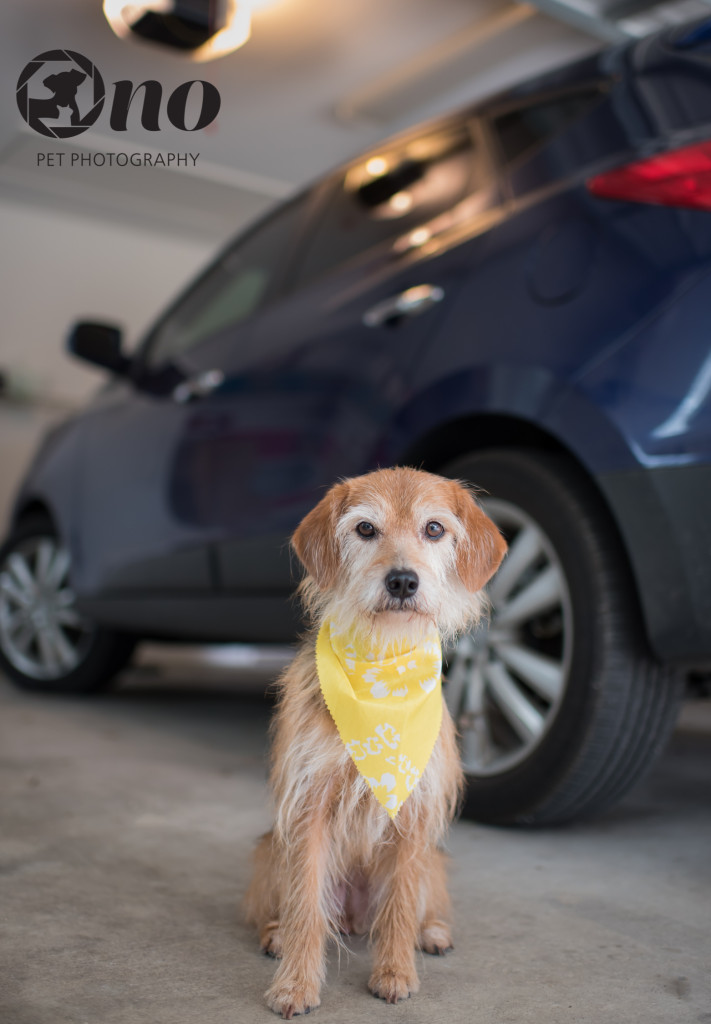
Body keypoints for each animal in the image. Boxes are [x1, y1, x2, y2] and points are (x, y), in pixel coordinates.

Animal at [244, 468, 506, 1019]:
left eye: (434, 529)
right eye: (366, 529)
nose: (403, 580)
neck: (382, 665)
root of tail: (356, 917)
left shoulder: (413, 811)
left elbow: (401, 901)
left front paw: (395, 973)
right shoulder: (310, 805)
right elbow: (305, 905)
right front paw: (295, 986)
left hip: (434, 862)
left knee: (414, 906)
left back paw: (431, 933)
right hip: (270, 850)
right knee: (296, 909)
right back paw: (278, 935)